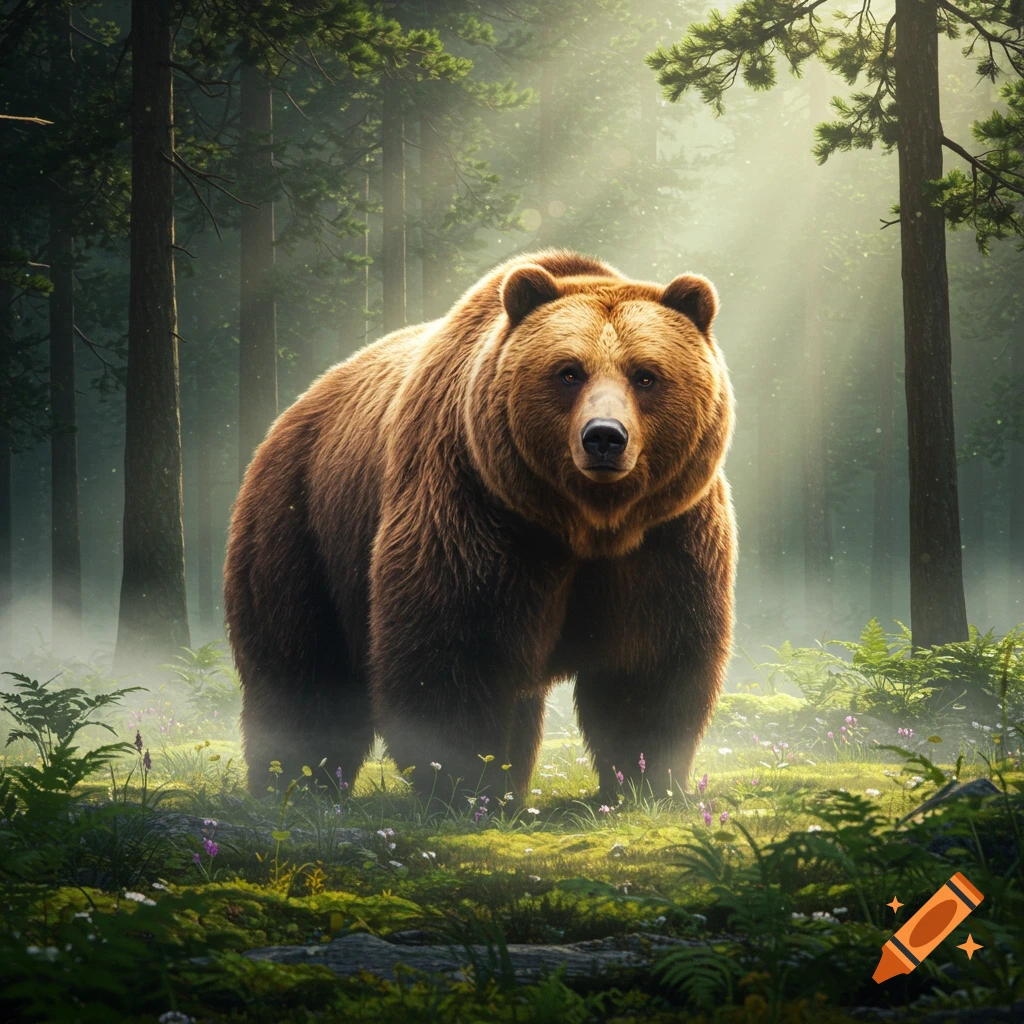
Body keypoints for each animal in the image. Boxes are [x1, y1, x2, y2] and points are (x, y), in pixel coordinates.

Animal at [224, 248, 736, 802]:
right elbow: (455, 647)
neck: (586, 522)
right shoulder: (474, 508)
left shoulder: (666, 535)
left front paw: (648, 782)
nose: (604, 437)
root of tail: (295, 409)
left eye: (645, 375)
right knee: (302, 669)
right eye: (568, 372)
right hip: (302, 525)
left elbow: (650, 663)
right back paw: (293, 783)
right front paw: (461, 784)